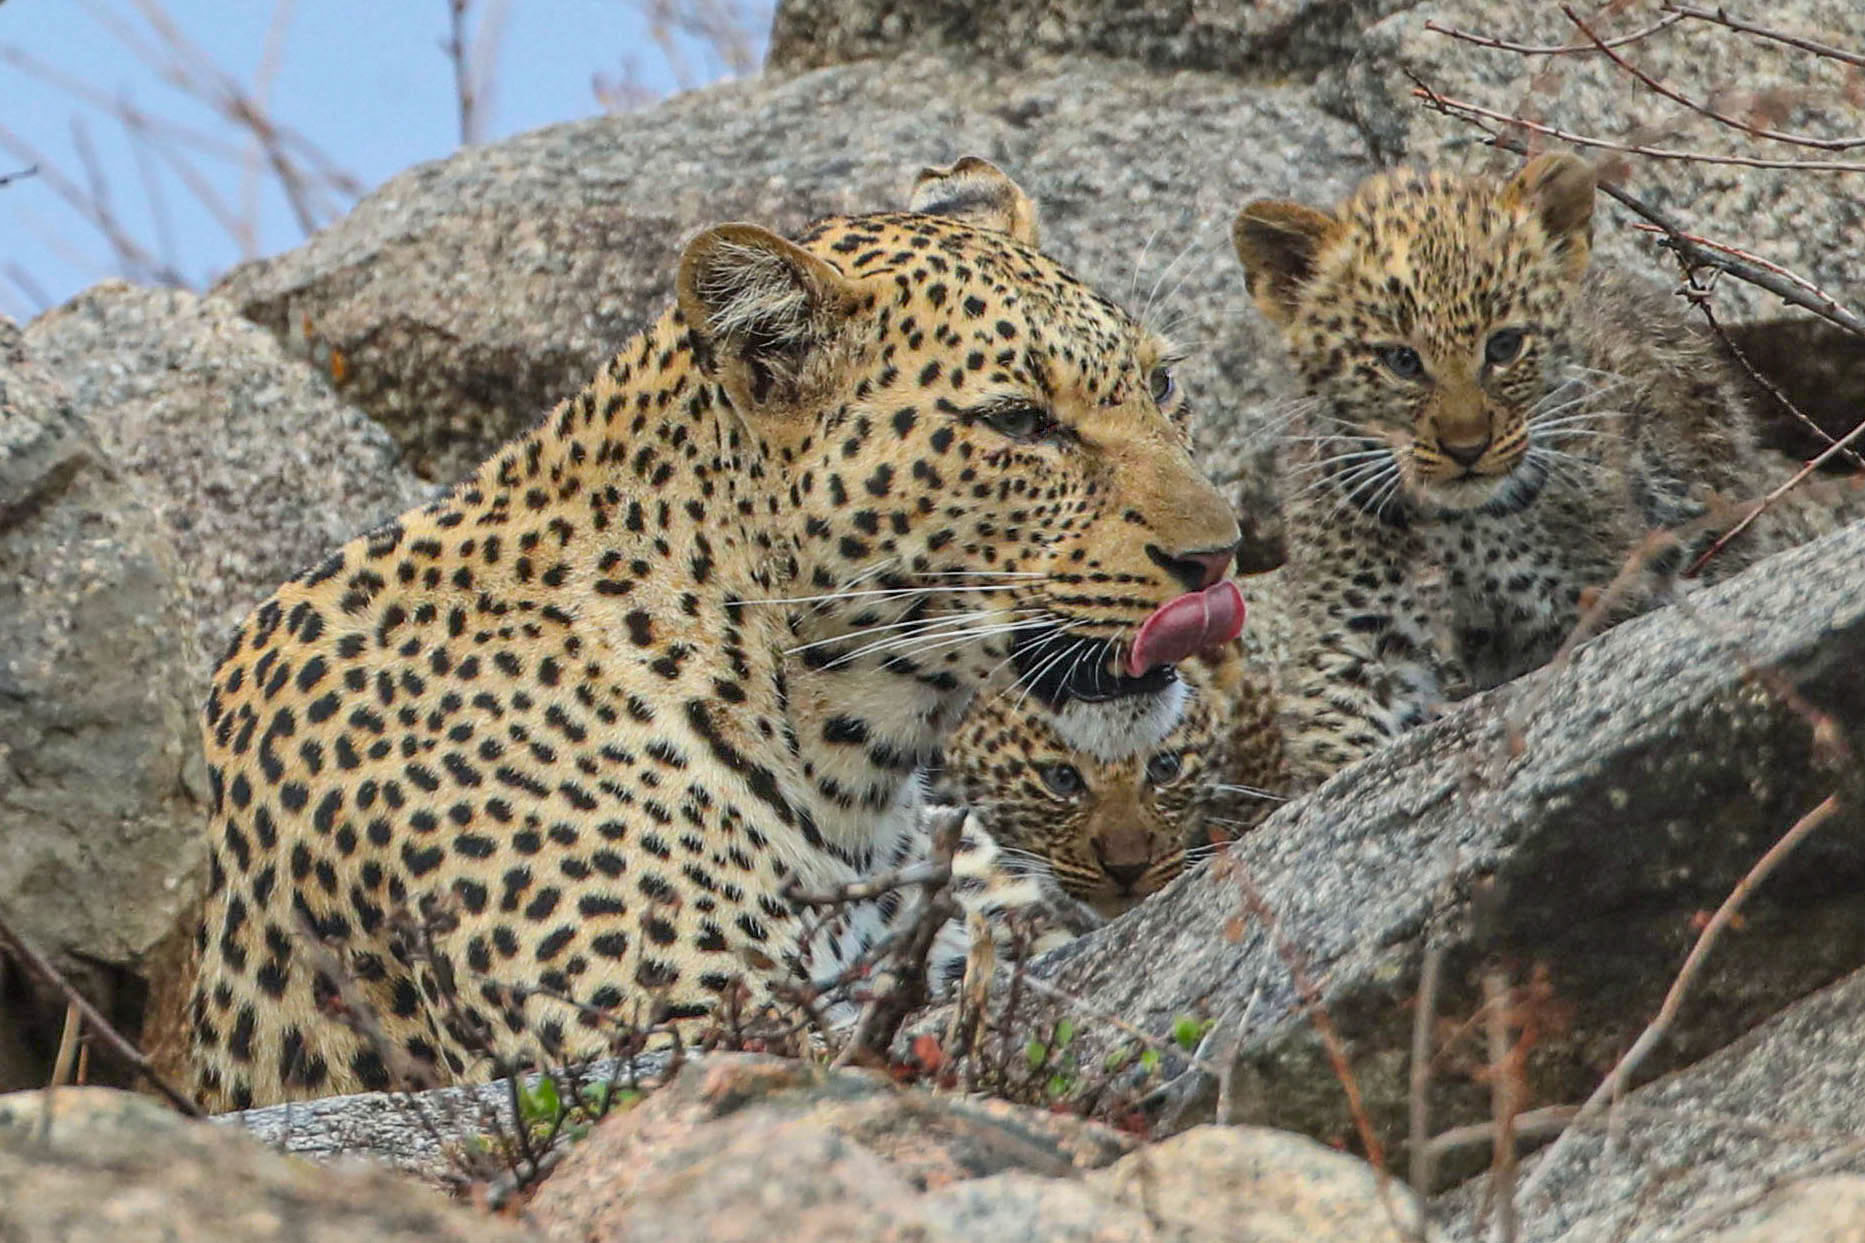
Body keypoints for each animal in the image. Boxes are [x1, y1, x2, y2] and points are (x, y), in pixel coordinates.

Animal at [1231, 152, 1858, 788]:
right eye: (1401, 361)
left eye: (1505, 346)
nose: (1467, 448)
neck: (1460, 531)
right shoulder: (1354, 638)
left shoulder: (1590, 603)